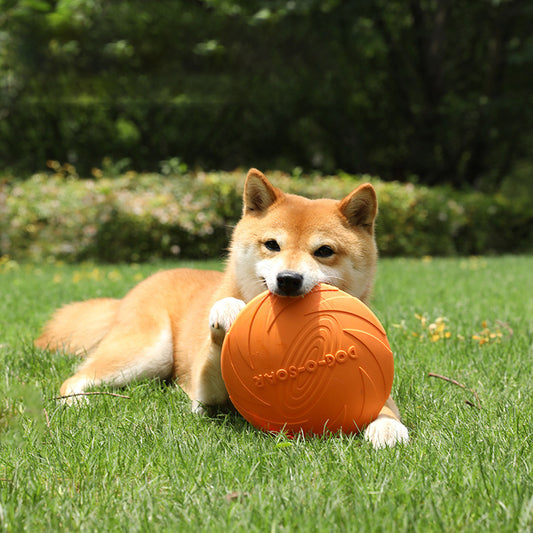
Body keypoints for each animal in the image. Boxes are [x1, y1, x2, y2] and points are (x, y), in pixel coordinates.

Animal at [36, 168, 408, 446]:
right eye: (272, 245)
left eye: (325, 251)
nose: (288, 279)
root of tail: (130, 293)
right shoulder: (205, 395)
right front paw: (227, 311)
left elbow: (385, 406)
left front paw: (388, 427)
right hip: (148, 351)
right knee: (75, 378)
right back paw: (78, 400)